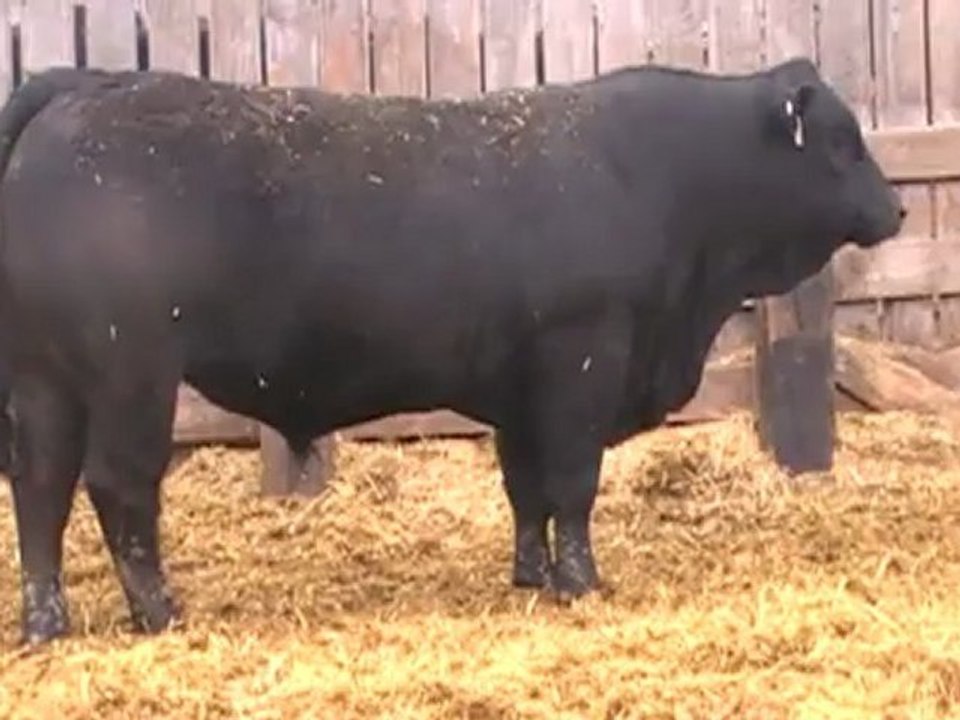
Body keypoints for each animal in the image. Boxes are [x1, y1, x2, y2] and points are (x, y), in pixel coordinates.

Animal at [0, 57, 903, 645]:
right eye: (842, 142)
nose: (895, 209)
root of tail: (83, 84)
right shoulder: (581, 363)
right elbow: (572, 486)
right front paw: (581, 583)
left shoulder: (520, 389)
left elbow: (526, 489)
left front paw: (531, 574)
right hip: (131, 372)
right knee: (118, 488)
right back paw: (158, 612)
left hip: (45, 379)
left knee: (39, 489)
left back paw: (47, 623)